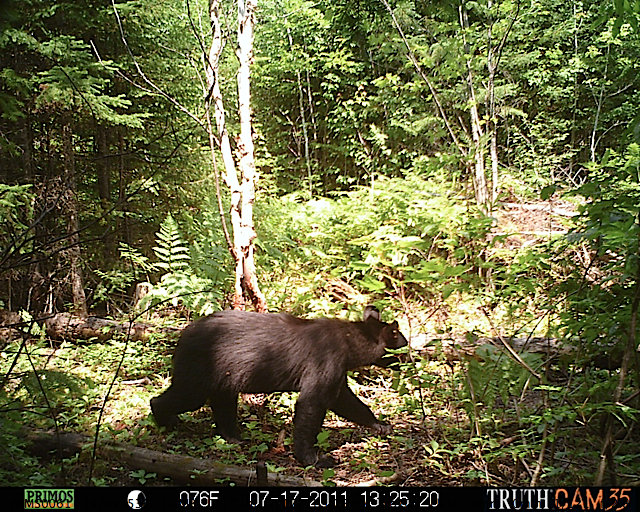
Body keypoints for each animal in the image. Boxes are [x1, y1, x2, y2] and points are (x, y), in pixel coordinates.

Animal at [151, 306, 404, 466]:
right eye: (404, 343)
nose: (409, 359)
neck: (350, 342)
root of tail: (182, 336)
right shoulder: (325, 360)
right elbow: (312, 403)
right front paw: (315, 458)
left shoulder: (337, 369)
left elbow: (345, 400)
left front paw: (381, 425)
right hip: (200, 366)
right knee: (186, 395)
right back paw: (166, 418)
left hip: (223, 374)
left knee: (224, 402)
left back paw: (233, 436)